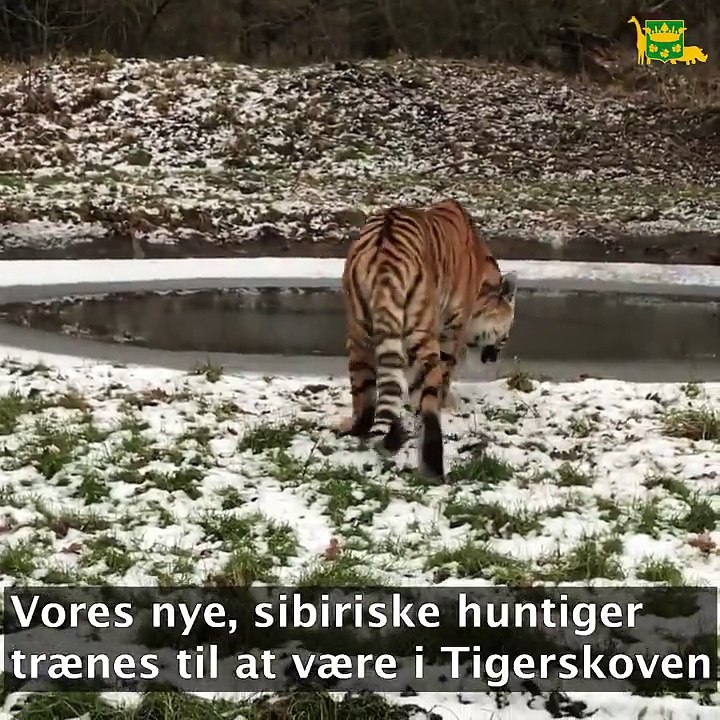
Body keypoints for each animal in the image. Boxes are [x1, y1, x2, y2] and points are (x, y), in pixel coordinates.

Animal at [337, 198, 518, 481]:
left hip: (359, 334)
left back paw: (359, 431)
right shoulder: (451, 332)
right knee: (429, 410)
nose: (494, 357)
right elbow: (447, 373)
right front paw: (449, 402)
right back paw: (433, 472)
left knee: (364, 399)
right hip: (422, 336)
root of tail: (383, 253)